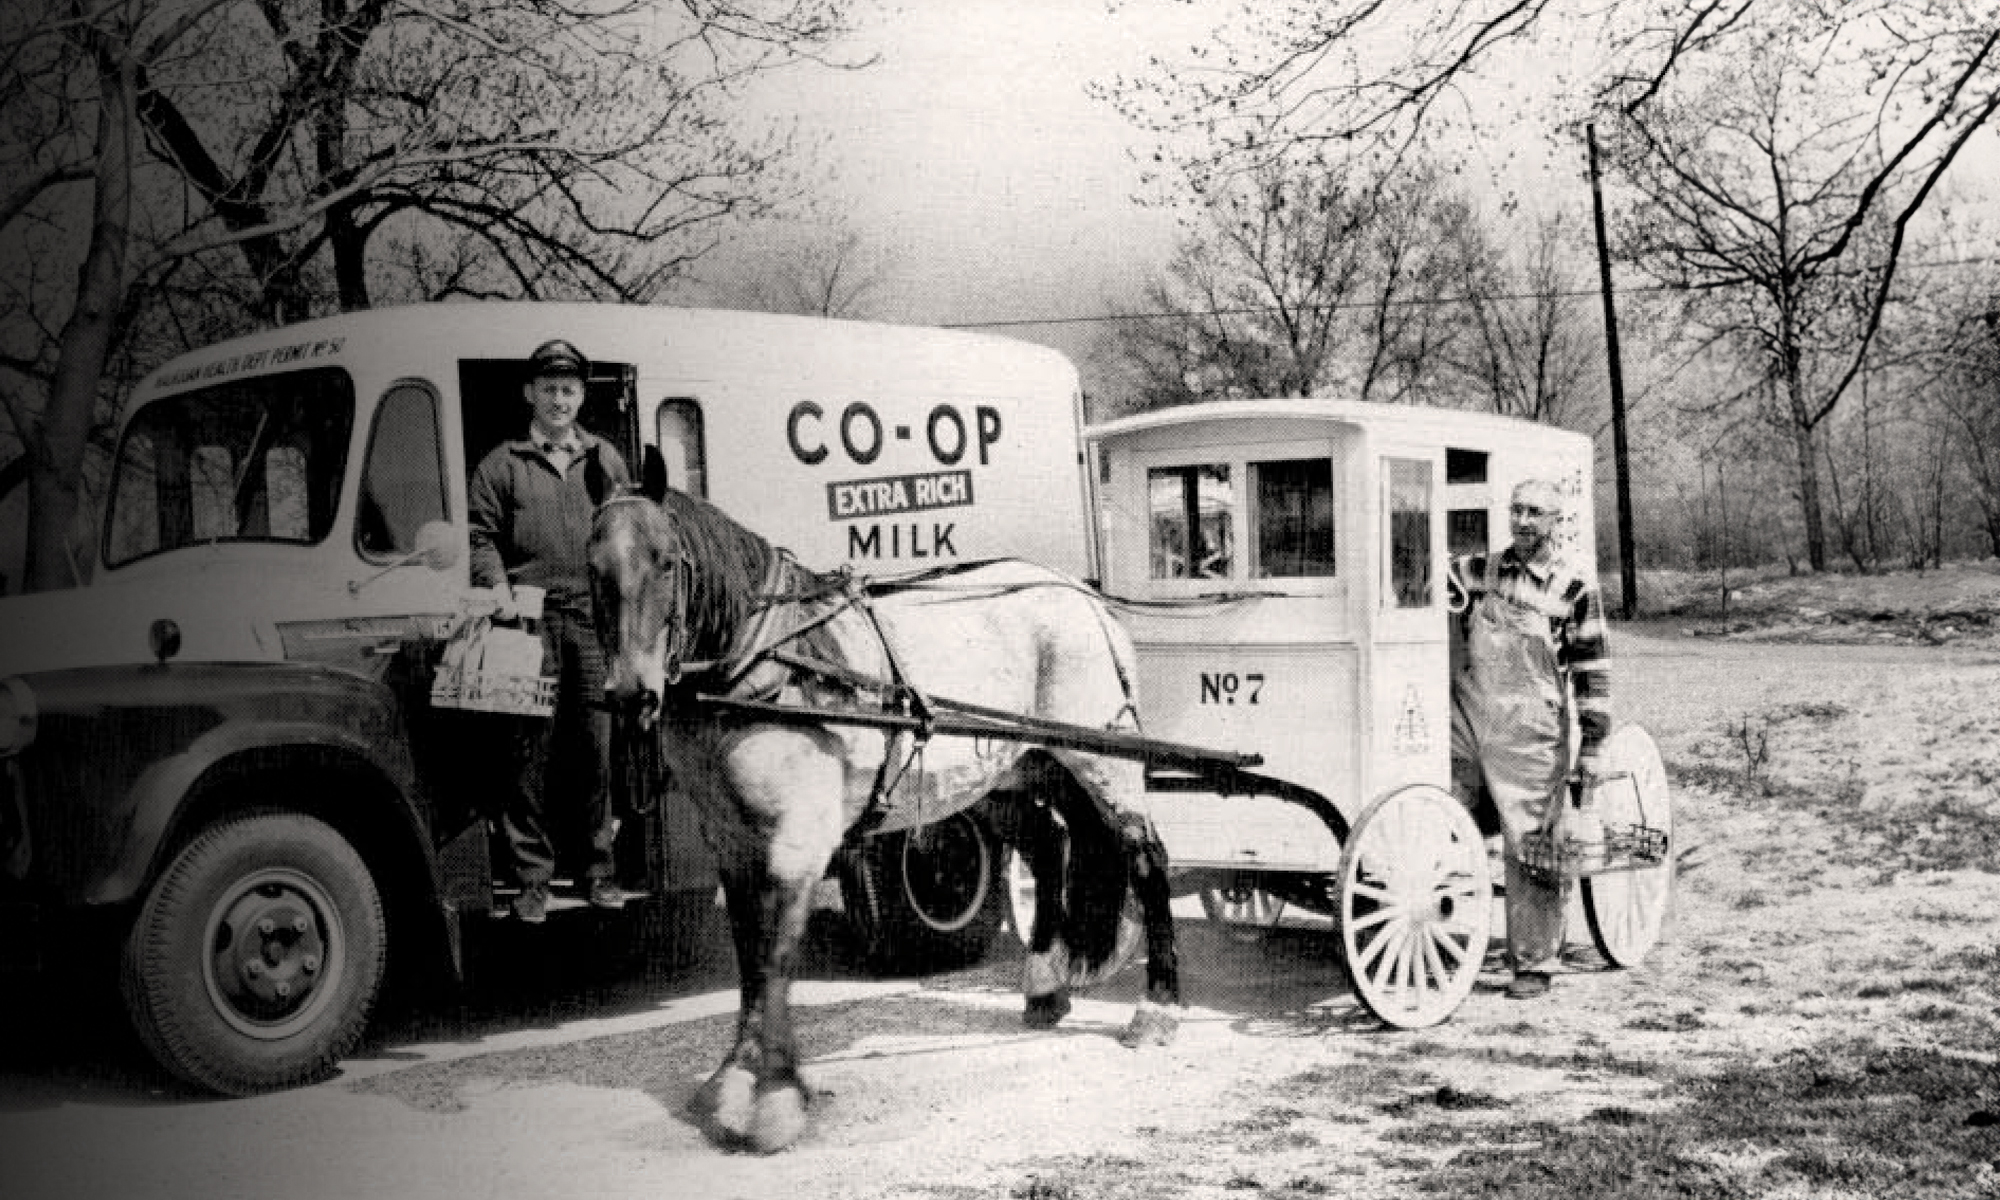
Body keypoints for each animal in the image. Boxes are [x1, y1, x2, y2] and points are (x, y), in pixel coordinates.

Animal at [588, 478, 1184, 1152]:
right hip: (1011, 769)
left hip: (1100, 757)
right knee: (1047, 848)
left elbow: (776, 960)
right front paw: (732, 1081)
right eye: (593, 567)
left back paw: (1157, 1008)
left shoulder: (797, 845)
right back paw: (1043, 990)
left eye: (666, 561)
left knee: (1146, 857)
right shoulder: (731, 845)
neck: (775, 665)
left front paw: (776, 1098)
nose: (631, 694)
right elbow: (749, 959)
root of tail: (1083, 597)